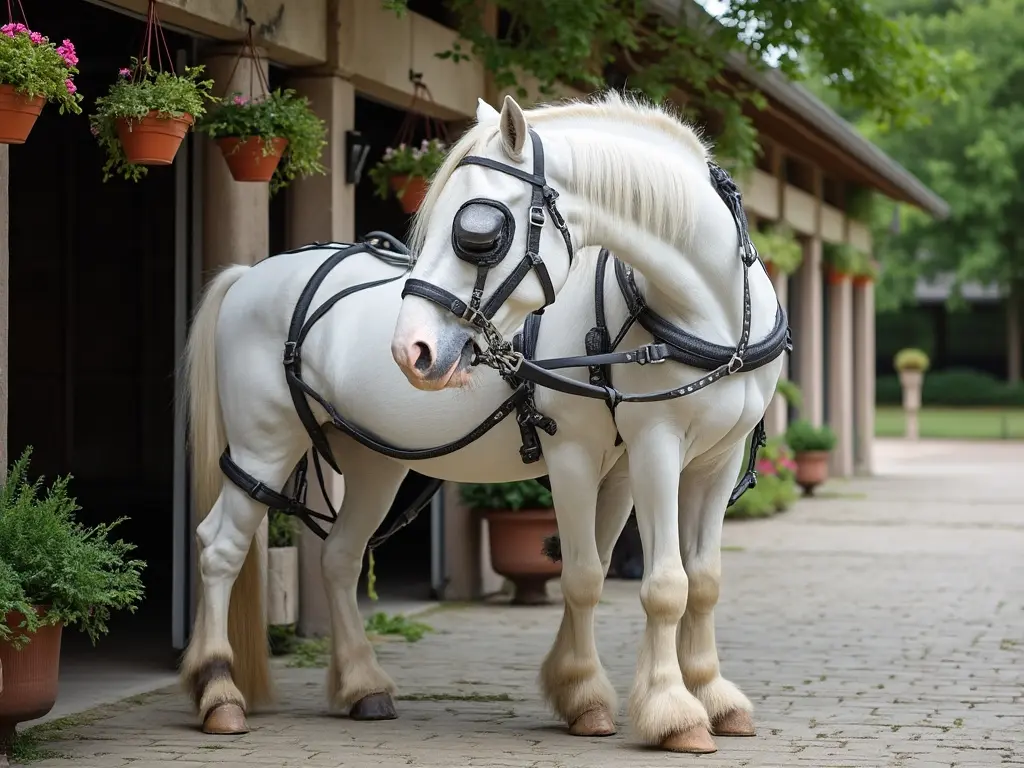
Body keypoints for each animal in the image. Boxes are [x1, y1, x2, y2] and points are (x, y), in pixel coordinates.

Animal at [391, 91, 786, 753]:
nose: (409, 350)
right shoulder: (632, 449)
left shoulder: (716, 458)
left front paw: (713, 696)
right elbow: (637, 582)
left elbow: (701, 579)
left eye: (476, 233)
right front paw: (662, 709)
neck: (711, 312)